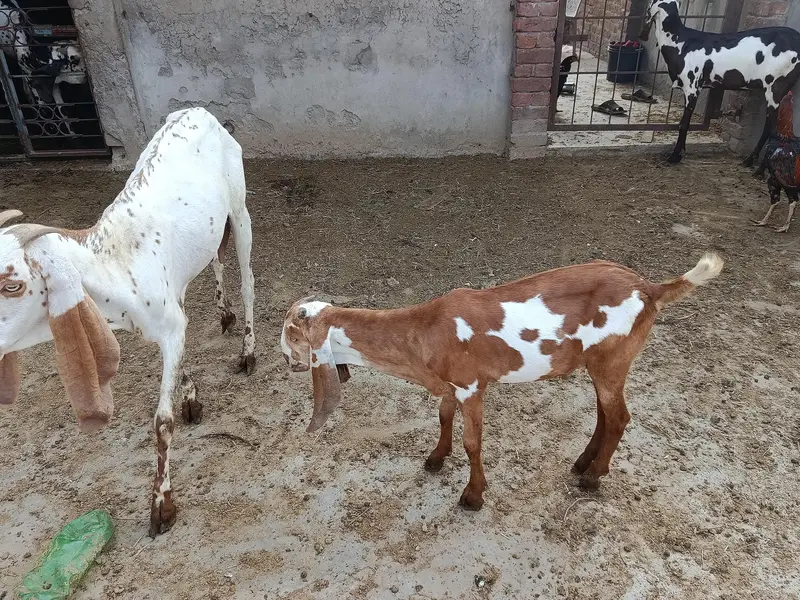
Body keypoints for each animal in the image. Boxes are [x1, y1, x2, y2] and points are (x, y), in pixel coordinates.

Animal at [0, 107, 256, 537]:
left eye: (13, 284)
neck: (117, 264)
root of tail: (199, 110)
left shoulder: (169, 322)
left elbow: (162, 421)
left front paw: (162, 508)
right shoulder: (169, 317)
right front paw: (192, 397)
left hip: (239, 207)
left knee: (247, 277)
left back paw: (249, 352)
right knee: (215, 259)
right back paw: (225, 315)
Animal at [281, 254, 723, 510]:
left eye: (291, 335)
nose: (285, 360)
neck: (423, 331)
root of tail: (649, 288)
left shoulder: (472, 385)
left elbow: (472, 442)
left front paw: (473, 495)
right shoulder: (450, 385)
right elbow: (443, 417)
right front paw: (435, 459)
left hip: (612, 358)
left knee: (619, 417)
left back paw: (592, 479)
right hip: (600, 363)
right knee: (604, 412)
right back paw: (583, 464)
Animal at [640, 0, 800, 167]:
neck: (680, 41)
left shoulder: (692, 87)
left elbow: (684, 124)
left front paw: (675, 156)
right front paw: (680, 152)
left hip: (776, 86)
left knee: (772, 129)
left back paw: (754, 163)